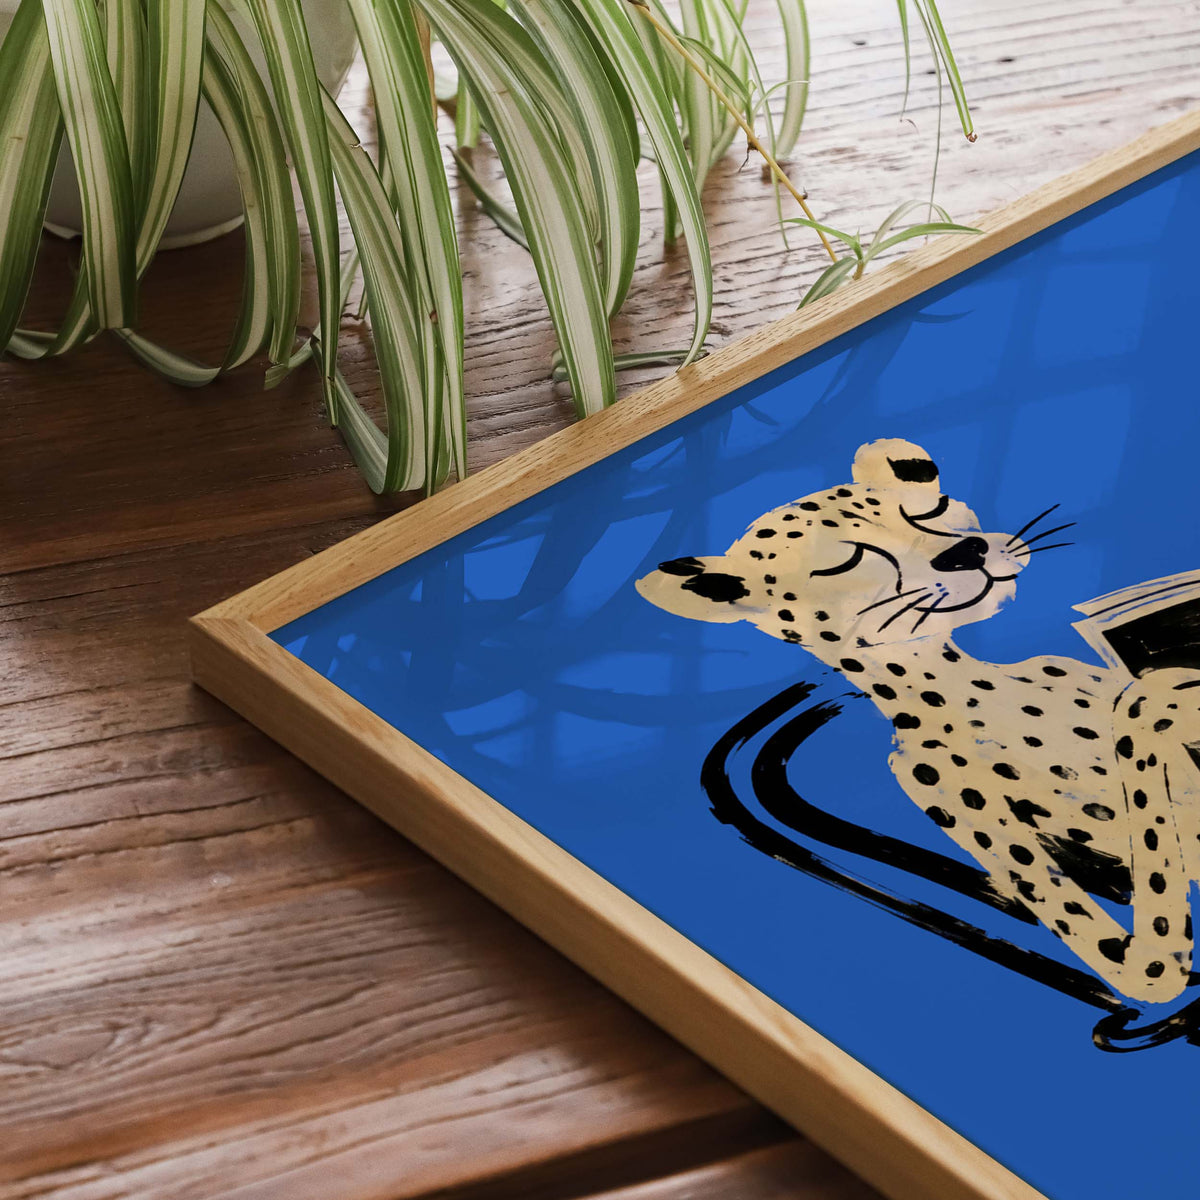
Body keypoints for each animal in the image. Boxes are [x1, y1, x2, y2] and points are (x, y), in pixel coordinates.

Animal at [636, 437, 1200, 1005]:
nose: (965, 552)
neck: (957, 679)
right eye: (844, 561)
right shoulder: (1136, 960)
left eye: (930, 508)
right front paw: (1166, 693)